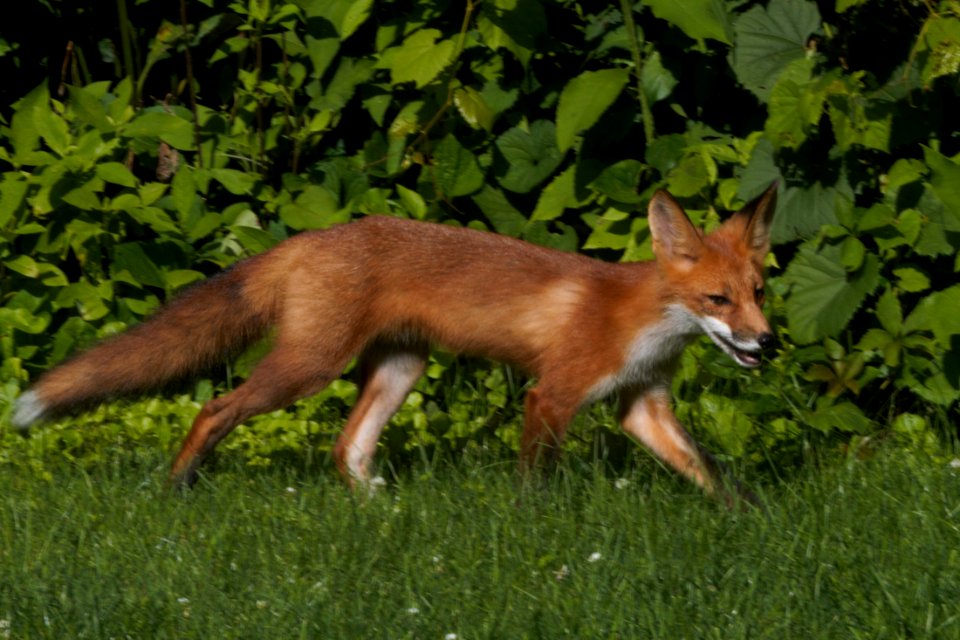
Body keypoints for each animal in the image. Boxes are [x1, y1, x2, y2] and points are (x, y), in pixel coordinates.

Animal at [11, 182, 776, 502]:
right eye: (718, 301)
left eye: (760, 291)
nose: (766, 344)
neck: (645, 324)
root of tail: (309, 237)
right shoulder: (552, 395)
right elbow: (535, 484)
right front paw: (531, 527)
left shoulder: (642, 405)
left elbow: (709, 474)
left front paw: (747, 519)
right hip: (308, 368)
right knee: (216, 407)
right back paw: (177, 488)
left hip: (402, 368)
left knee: (345, 448)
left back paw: (381, 512)